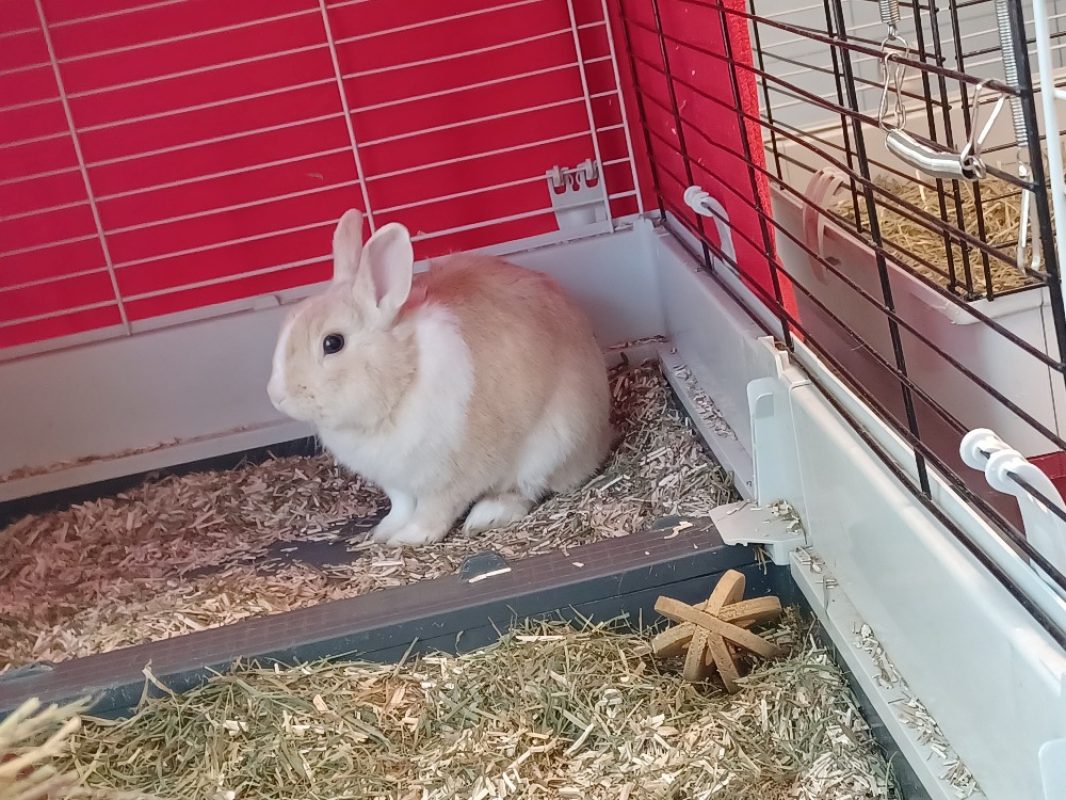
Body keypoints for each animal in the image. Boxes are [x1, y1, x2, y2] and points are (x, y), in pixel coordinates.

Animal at [267, 209, 612, 547]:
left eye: (333, 343)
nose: (276, 396)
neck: (404, 380)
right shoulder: (397, 484)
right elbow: (401, 507)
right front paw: (384, 531)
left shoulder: (451, 476)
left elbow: (435, 511)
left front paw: (408, 538)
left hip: (552, 446)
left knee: (526, 490)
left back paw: (486, 515)